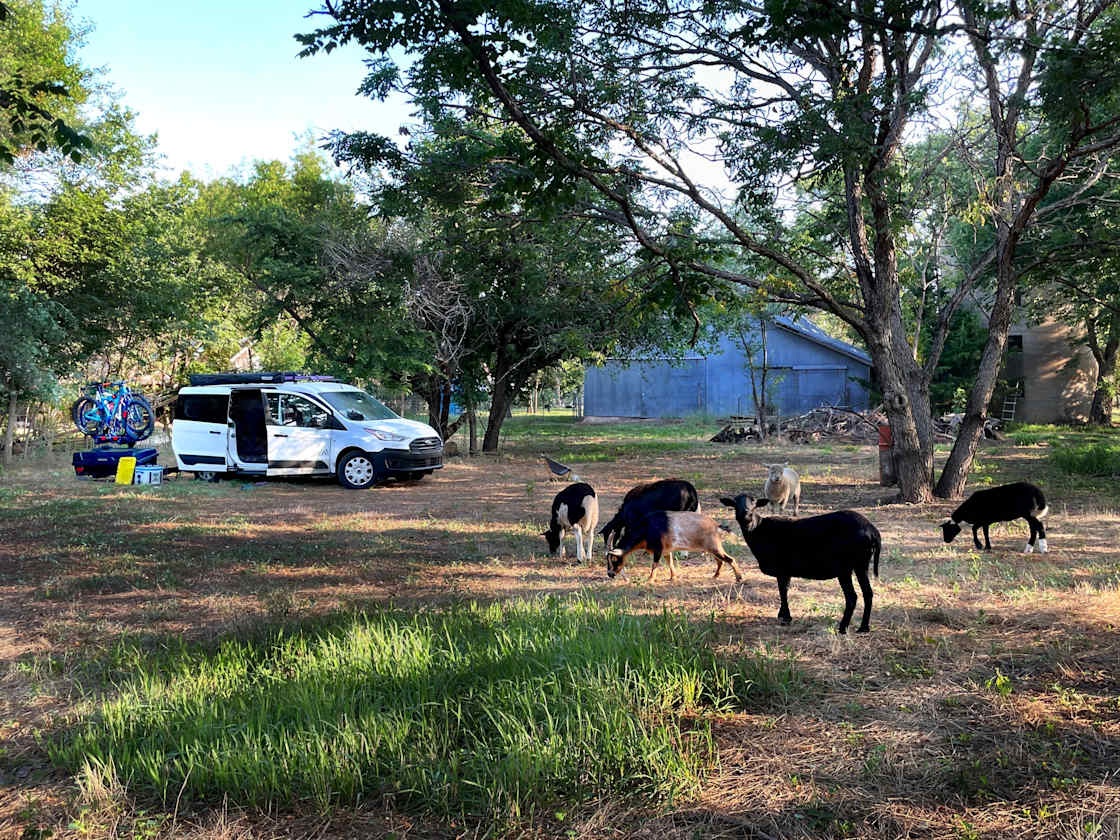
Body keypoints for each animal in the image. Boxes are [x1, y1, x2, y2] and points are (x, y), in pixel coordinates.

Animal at [604, 510, 743, 582]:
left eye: (614, 559)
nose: (610, 574)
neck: (647, 528)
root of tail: (716, 526)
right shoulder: (666, 550)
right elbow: (670, 563)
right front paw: (673, 577)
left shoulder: (658, 549)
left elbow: (655, 565)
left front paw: (650, 579)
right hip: (712, 548)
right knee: (720, 561)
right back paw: (715, 575)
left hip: (714, 547)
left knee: (730, 559)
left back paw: (739, 577)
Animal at [716, 497, 882, 636]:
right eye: (735, 503)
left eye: (754, 503)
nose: (746, 516)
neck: (758, 530)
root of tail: (872, 530)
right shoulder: (786, 571)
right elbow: (785, 590)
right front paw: (783, 615)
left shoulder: (781, 568)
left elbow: (782, 591)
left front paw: (785, 617)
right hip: (861, 565)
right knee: (868, 593)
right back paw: (863, 628)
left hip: (847, 567)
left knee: (852, 596)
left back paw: (843, 628)